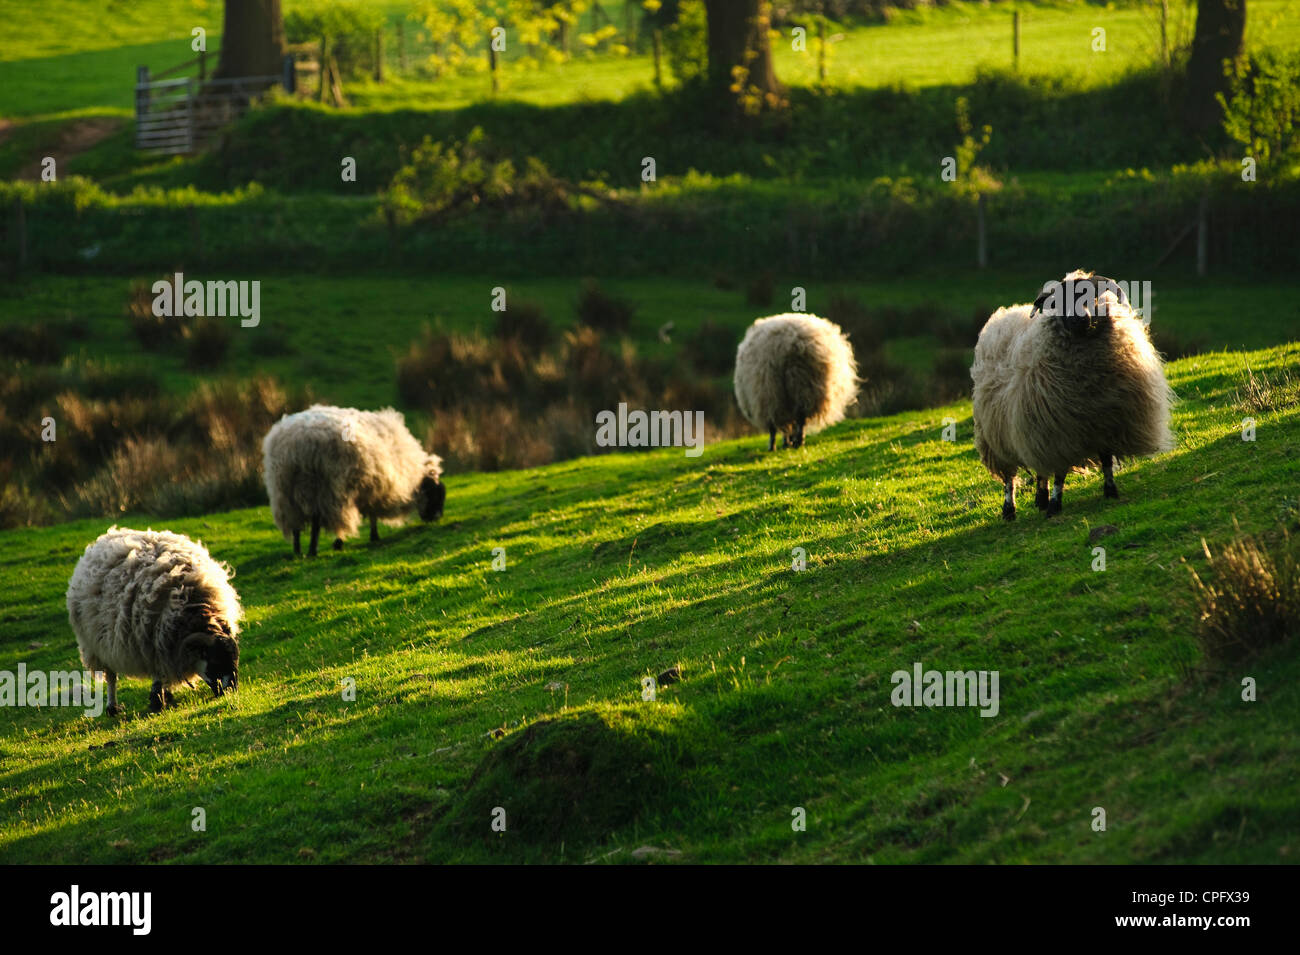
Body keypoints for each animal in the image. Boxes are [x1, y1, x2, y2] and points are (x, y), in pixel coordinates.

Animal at [67, 530, 241, 717]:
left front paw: (164, 695)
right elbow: (158, 674)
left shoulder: (164, 644)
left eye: (235, 659)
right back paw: (112, 707)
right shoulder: (151, 643)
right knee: (110, 676)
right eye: (215, 661)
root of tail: (107, 536)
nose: (231, 690)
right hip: (95, 645)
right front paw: (157, 701)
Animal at [262, 405, 447, 556]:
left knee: (295, 525)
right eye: (435, 494)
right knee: (317, 522)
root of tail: (294, 443)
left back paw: (297, 551)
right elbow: (372, 516)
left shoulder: (370, 488)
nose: (437, 518)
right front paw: (371, 537)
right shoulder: (374, 488)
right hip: (324, 489)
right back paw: (314, 550)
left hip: (283, 491)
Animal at [738, 311, 857, 449]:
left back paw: (779, 445)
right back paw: (798, 441)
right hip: (804, 386)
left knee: (781, 420)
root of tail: (791, 342)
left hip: (771, 391)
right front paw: (789, 441)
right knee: (800, 416)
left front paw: (784, 442)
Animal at [972, 268, 1175, 522]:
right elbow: (1059, 474)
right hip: (998, 433)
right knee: (1010, 477)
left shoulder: (1106, 424)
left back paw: (1040, 498)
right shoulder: (1061, 432)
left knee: (1041, 469)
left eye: (1092, 295)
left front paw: (1110, 490)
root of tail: (1007, 312)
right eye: (1058, 302)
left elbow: (1106, 461)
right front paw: (1055, 505)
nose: (1079, 319)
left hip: (1032, 430)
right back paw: (1010, 509)